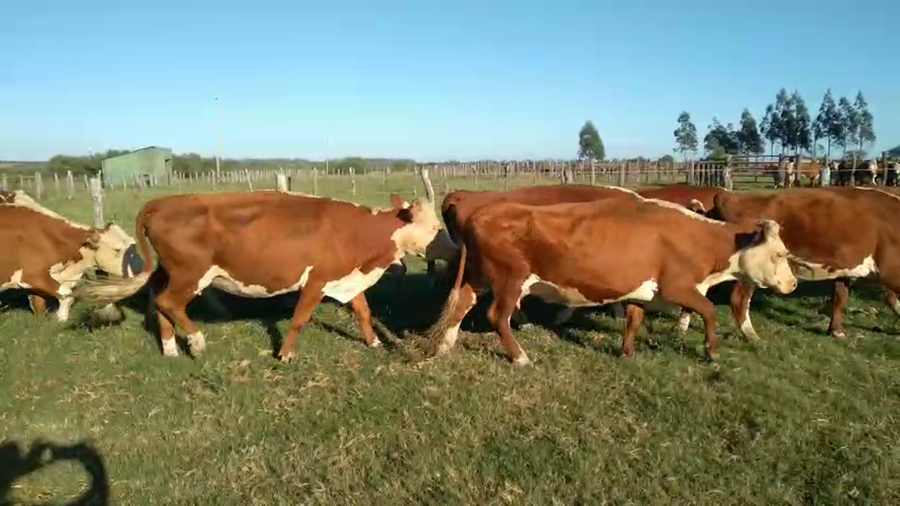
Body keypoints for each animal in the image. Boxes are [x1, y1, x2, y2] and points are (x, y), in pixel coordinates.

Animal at [0, 190, 143, 321]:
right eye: (117, 250)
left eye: (133, 243)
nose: (140, 270)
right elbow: (67, 295)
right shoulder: (31, 276)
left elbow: (39, 304)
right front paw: (61, 318)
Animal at [72, 191, 454, 362]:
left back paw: (170, 349)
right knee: (170, 303)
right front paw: (283, 355)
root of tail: (165, 201)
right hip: (190, 275)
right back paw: (196, 342)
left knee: (160, 304)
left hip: (169, 273)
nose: (454, 248)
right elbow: (299, 319)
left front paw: (373, 342)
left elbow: (363, 310)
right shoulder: (316, 281)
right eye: (436, 227)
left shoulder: (344, 278)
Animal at [426, 196, 797, 365]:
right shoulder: (678, 287)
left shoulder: (639, 290)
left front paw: (627, 353)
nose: (793, 284)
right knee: (497, 317)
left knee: (461, 305)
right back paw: (520, 357)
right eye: (780, 254)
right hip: (509, 280)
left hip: (477, 277)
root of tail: (482, 211)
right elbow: (708, 311)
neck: (694, 237)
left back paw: (445, 346)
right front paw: (712, 351)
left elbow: (633, 319)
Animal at [705, 187, 900, 341]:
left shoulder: (846, 269)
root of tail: (729, 195)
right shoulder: (890, 270)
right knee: (739, 298)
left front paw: (835, 329)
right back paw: (751, 335)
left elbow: (841, 297)